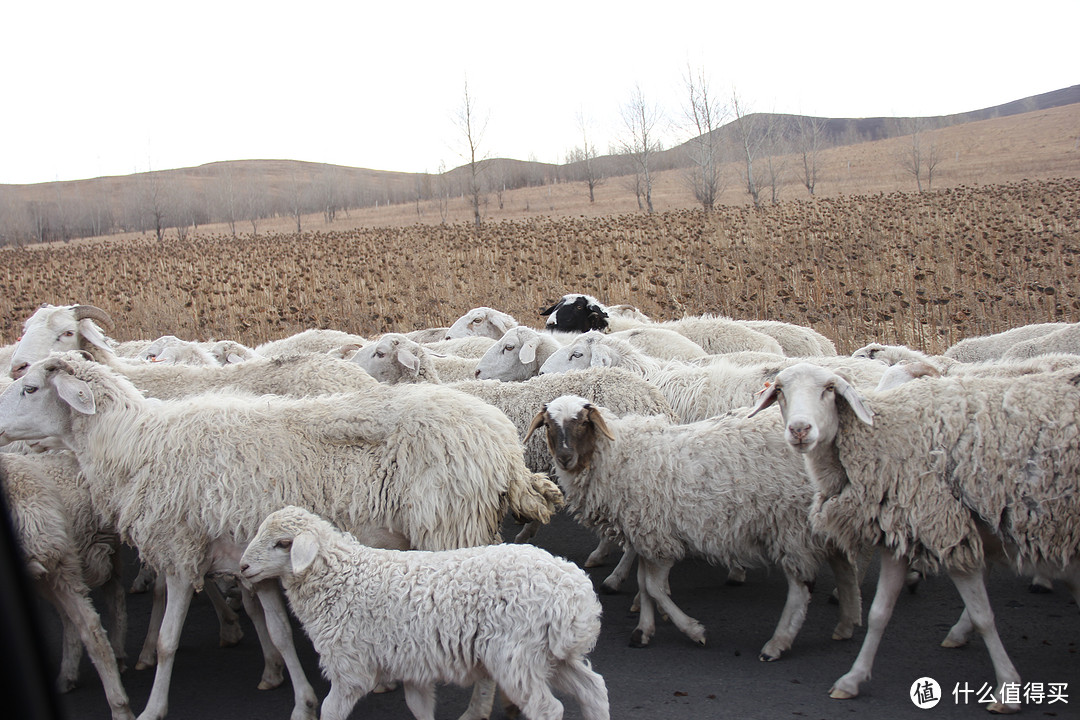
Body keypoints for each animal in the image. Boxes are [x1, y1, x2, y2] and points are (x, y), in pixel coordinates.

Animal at [239, 507, 609, 720]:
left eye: (282, 544)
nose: (242, 567)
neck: (342, 579)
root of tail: (575, 593)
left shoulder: (350, 668)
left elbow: (331, 711)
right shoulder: (412, 664)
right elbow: (419, 708)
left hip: (516, 655)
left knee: (548, 709)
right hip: (550, 654)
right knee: (593, 689)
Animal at [522, 397, 859, 660]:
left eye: (582, 423)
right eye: (548, 425)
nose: (565, 458)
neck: (617, 457)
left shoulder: (655, 535)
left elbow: (655, 588)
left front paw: (694, 630)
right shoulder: (647, 534)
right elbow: (645, 585)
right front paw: (643, 631)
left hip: (789, 524)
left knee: (801, 589)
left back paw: (777, 644)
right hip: (818, 525)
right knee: (843, 567)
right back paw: (845, 624)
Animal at [751, 362, 1080, 712]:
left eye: (829, 389)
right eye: (780, 391)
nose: (800, 429)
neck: (879, 434)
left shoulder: (946, 530)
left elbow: (984, 617)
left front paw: (1007, 689)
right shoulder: (900, 536)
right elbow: (879, 613)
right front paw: (852, 680)